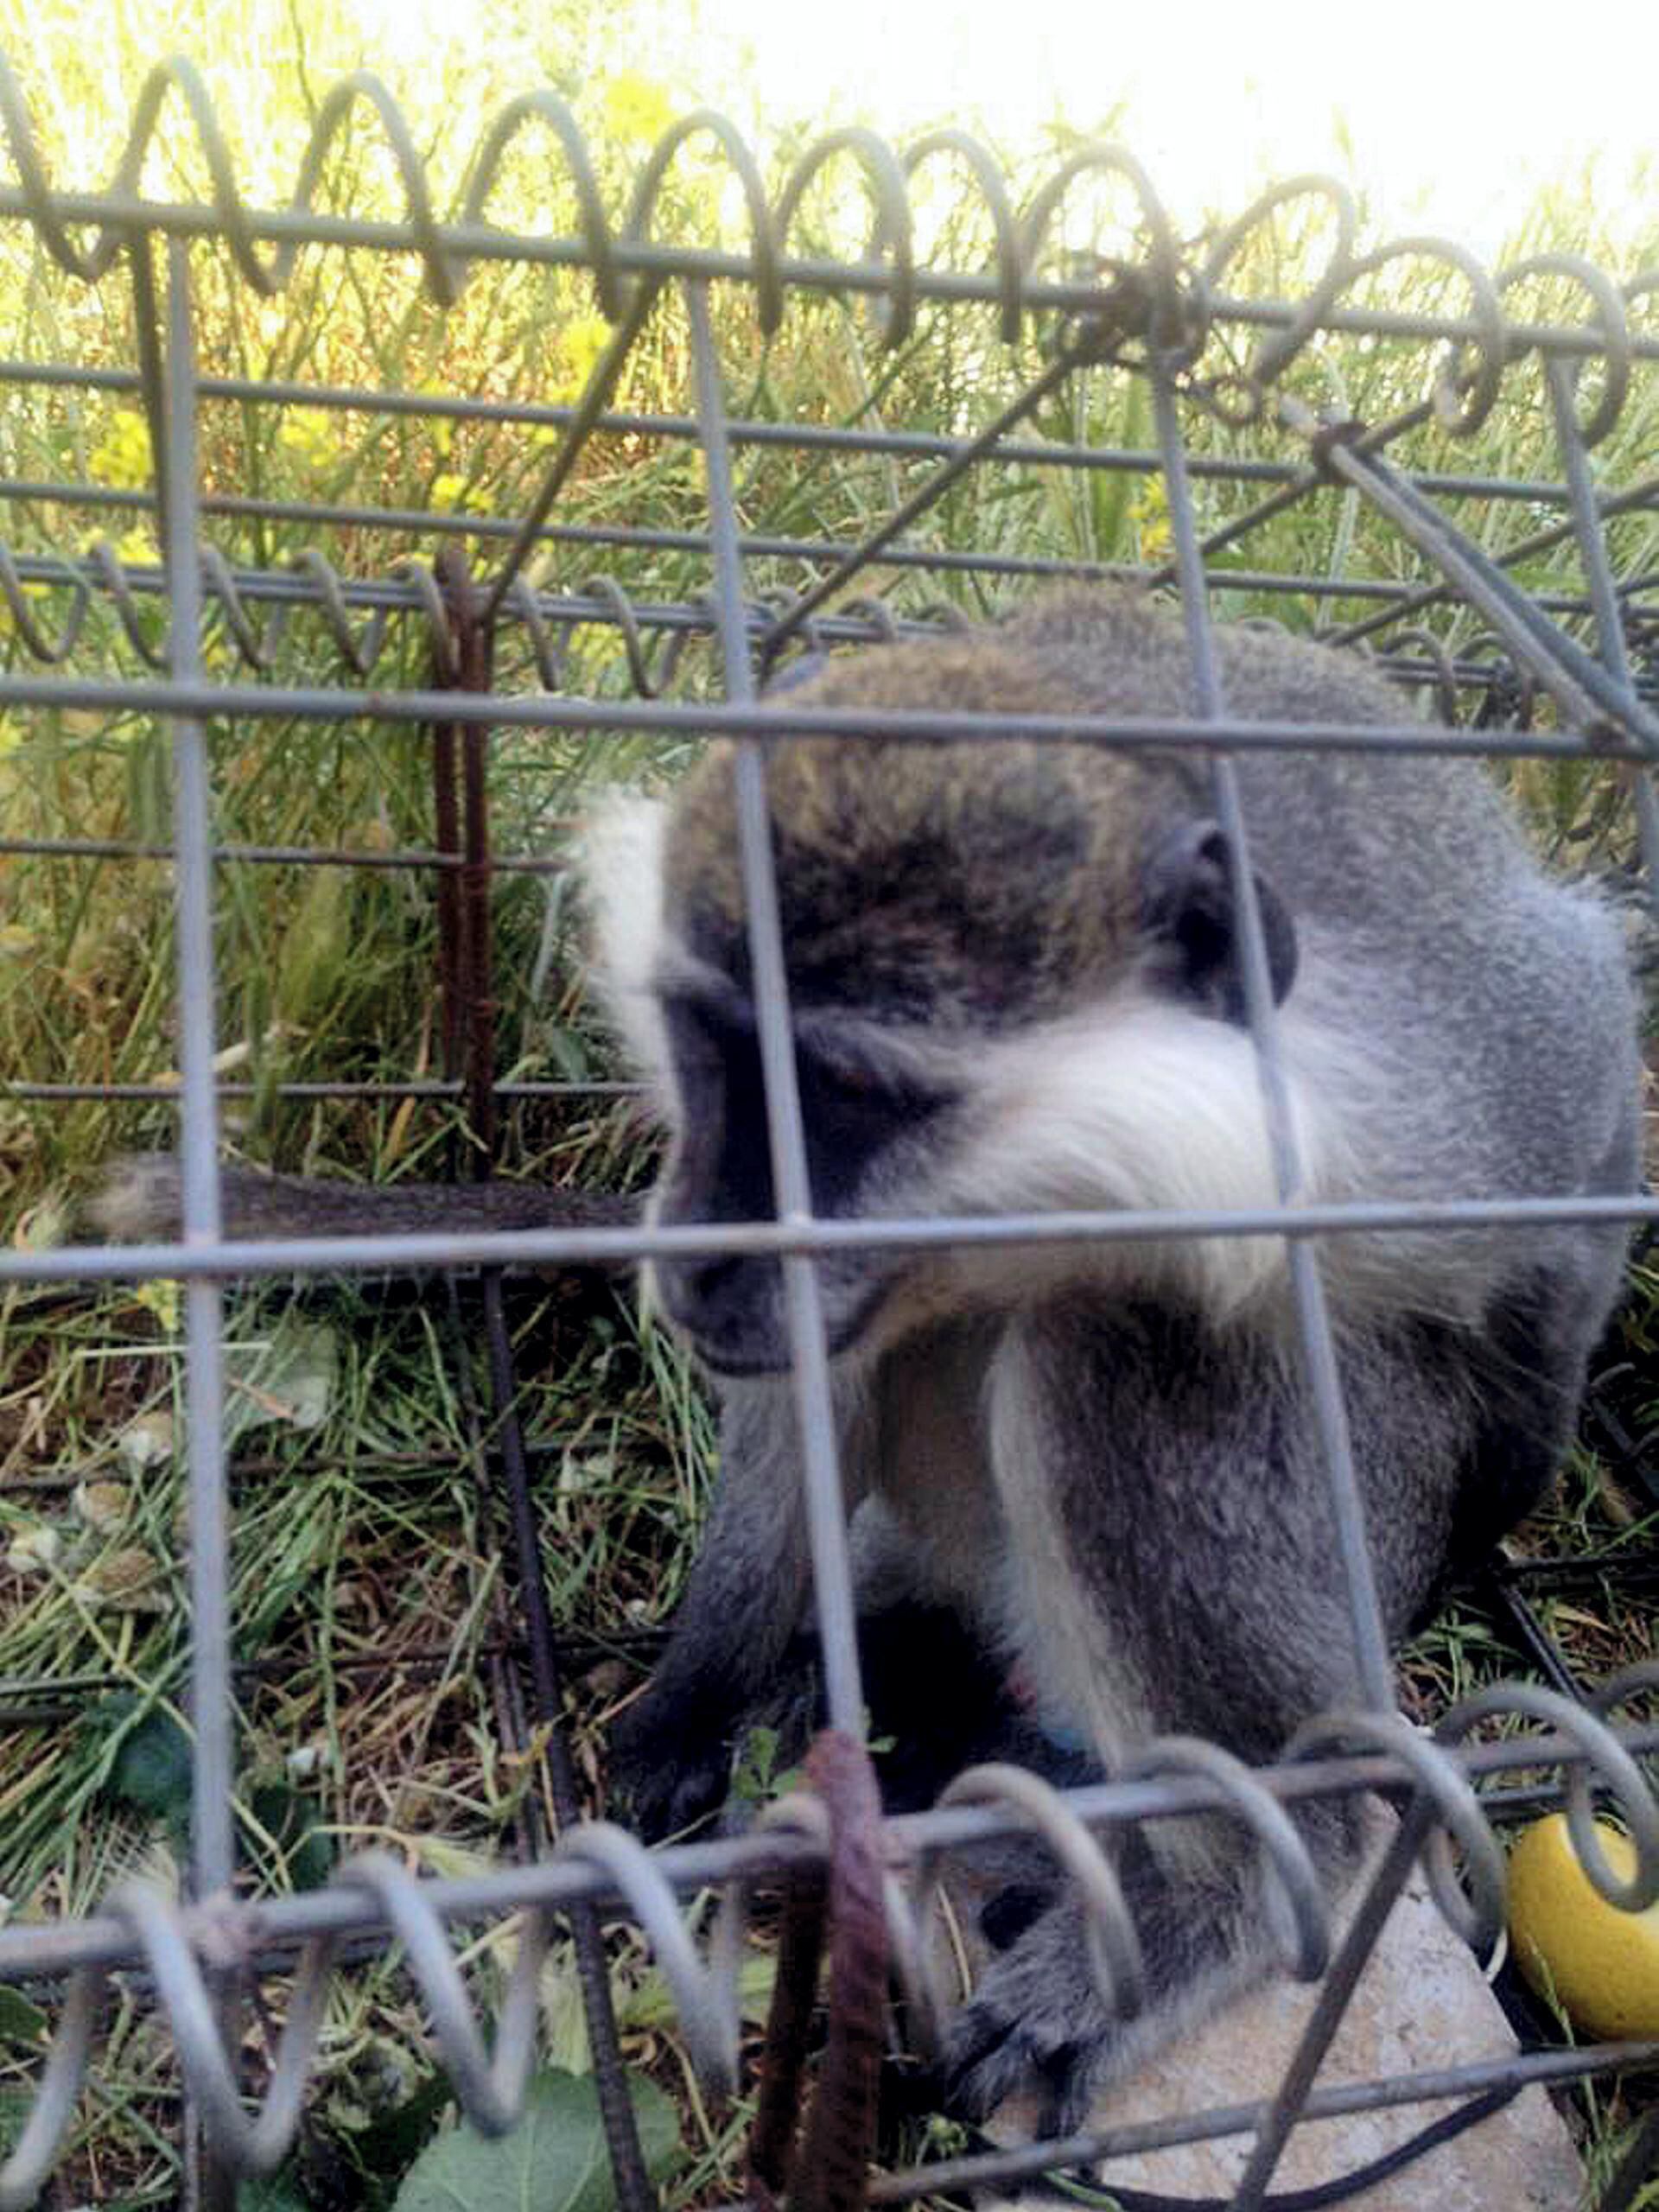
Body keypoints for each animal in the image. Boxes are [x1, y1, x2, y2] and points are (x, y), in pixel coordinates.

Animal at [97, 588, 1645, 2123]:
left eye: (840, 1087)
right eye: (709, 1042)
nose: (700, 1257)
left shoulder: (1452, 1084)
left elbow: (1577, 1174)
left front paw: (1509, 1483)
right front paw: (699, 1691)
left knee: (1118, 1346)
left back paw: (1243, 1880)